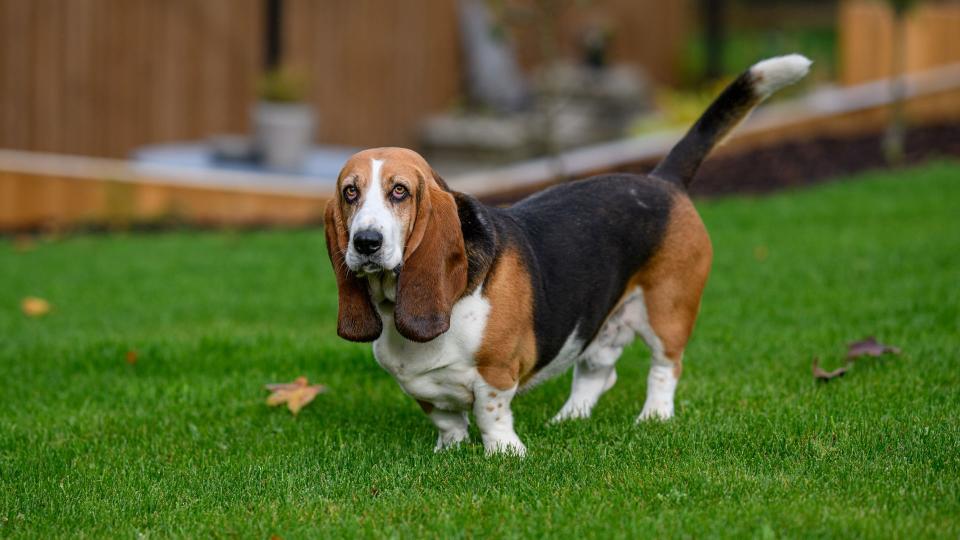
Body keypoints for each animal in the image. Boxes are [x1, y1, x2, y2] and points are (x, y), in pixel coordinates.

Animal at [324, 54, 808, 454]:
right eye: (350, 193)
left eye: (400, 191)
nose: (366, 242)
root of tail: (662, 179)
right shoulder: (422, 390)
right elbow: (447, 419)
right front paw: (451, 451)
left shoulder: (497, 375)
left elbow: (490, 414)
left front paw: (504, 454)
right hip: (600, 323)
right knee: (599, 373)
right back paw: (568, 420)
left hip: (668, 308)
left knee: (665, 367)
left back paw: (653, 417)